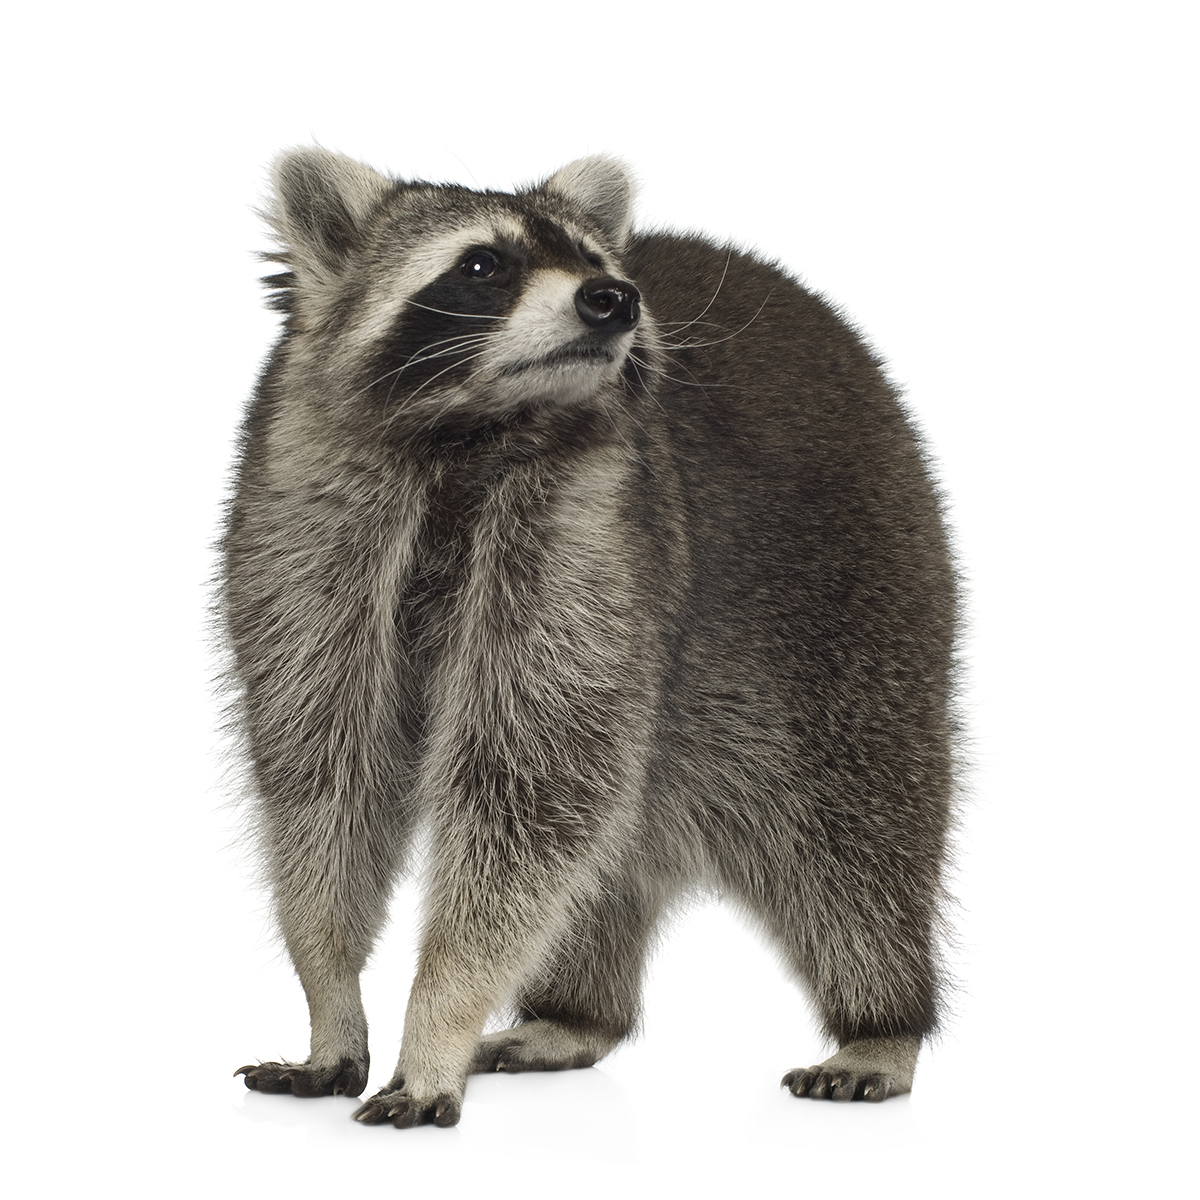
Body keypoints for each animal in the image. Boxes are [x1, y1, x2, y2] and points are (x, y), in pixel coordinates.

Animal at [223, 147, 955, 1123]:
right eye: (483, 264)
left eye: (594, 260)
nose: (614, 298)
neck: (470, 427)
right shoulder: (309, 511)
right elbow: (322, 776)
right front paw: (330, 994)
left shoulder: (595, 528)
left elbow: (528, 793)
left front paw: (438, 1015)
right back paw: (576, 1014)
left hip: (864, 592)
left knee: (855, 831)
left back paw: (883, 1019)